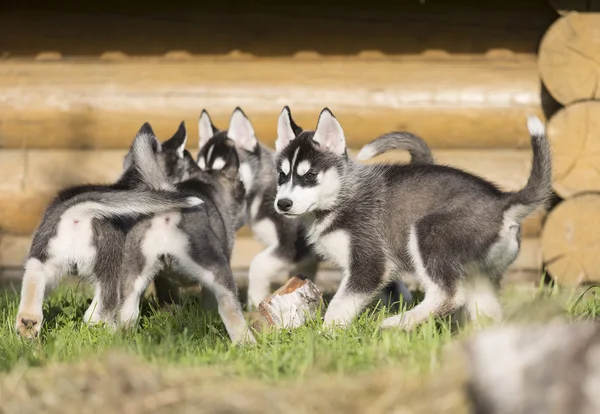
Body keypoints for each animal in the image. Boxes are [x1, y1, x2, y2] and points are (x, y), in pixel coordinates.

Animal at [14, 121, 200, 338]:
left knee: (31, 295)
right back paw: (113, 334)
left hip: (41, 261)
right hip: (112, 268)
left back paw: (28, 325)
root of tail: (77, 213)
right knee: (97, 314)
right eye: (189, 162)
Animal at [119, 125, 253, 342]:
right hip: (216, 268)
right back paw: (246, 341)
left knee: (127, 314)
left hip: (132, 277)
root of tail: (168, 211)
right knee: (229, 308)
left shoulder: (163, 281)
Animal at [274, 106, 552, 330]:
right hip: (479, 274)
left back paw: (399, 322)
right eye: (282, 175)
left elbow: (339, 304)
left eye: (310, 175)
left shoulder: (371, 263)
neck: (342, 195)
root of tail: (501, 202)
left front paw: (327, 335)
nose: (282, 204)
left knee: (448, 296)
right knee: (486, 310)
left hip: (428, 233)